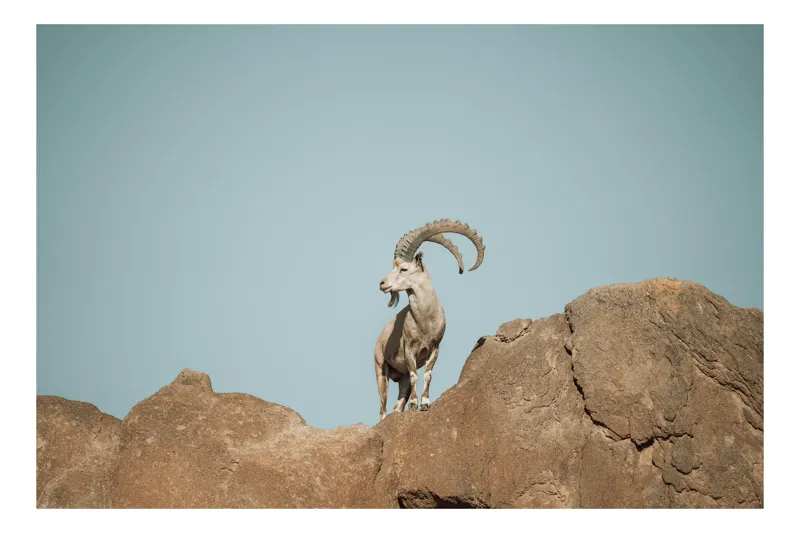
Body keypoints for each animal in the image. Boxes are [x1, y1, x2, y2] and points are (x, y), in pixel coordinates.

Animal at [374, 219, 485, 419]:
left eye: (404, 268)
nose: (382, 284)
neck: (425, 321)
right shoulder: (409, 350)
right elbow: (415, 376)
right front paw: (414, 404)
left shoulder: (434, 348)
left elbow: (427, 375)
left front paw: (425, 403)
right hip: (380, 371)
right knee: (382, 408)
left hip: (400, 378)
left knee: (397, 403)